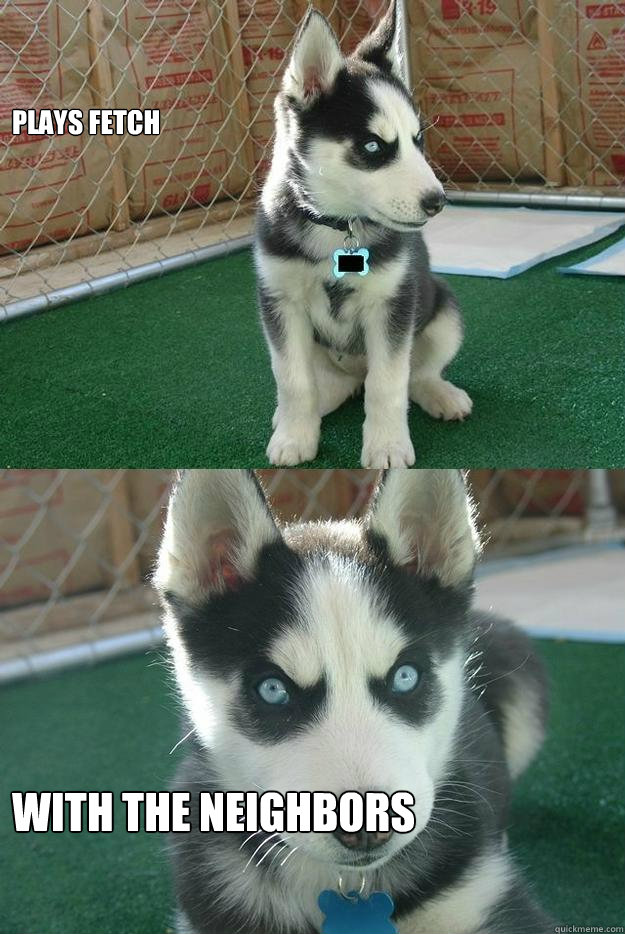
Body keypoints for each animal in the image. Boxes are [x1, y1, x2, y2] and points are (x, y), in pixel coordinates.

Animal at [256, 0, 470, 468]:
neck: (338, 226)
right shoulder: (280, 303)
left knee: (414, 374)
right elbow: (292, 379)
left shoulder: (392, 305)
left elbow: (388, 383)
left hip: (444, 311)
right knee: (327, 385)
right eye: (373, 146)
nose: (438, 201)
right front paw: (294, 437)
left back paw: (440, 394)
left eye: (417, 140)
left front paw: (387, 445)